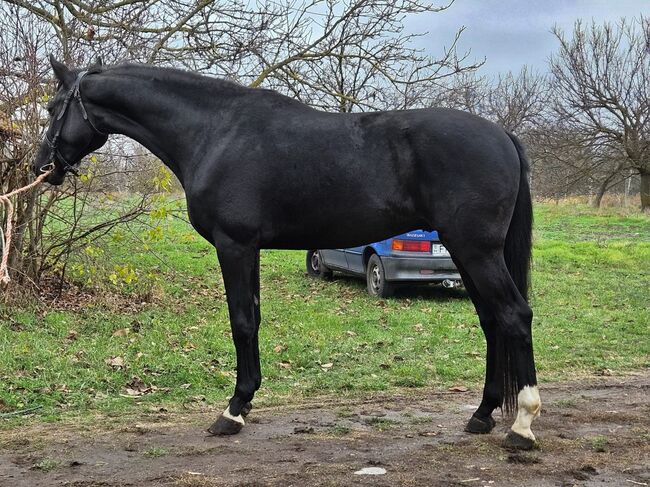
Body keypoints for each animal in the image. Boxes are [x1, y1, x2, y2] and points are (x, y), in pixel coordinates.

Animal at [33, 56, 541, 450]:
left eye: (54, 107)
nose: (42, 167)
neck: (215, 132)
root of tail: (503, 137)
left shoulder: (234, 245)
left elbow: (241, 321)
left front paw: (232, 412)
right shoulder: (249, 248)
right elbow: (253, 318)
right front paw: (246, 402)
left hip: (476, 250)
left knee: (514, 316)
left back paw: (522, 425)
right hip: (466, 252)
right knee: (492, 321)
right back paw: (482, 414)